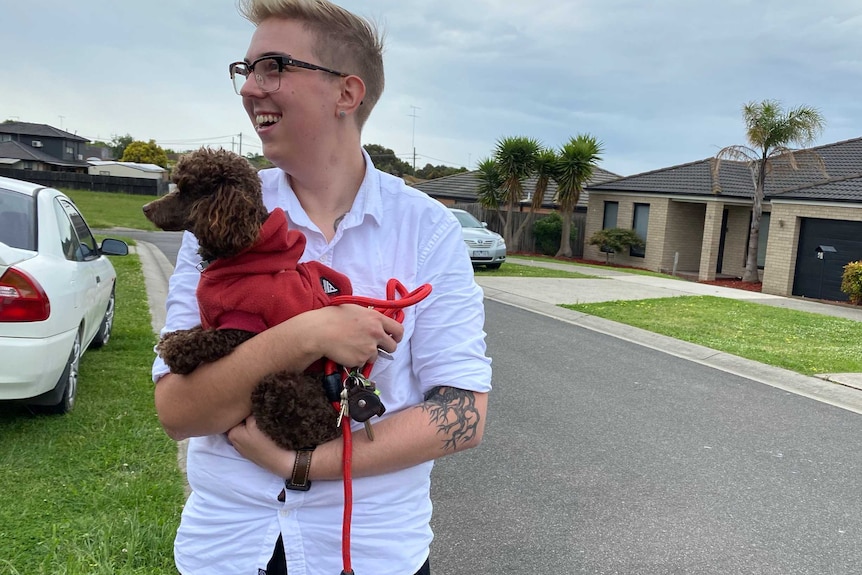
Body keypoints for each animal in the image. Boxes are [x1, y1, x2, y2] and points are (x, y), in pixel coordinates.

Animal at [145, 147, 352, 450]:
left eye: (185, 190)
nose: (145, 209)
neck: (239, 254)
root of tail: (337, 421)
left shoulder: (243, 328)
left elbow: (206, 340)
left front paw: (176, 350)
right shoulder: (215, 319)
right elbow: (199, 328)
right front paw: (177, 337)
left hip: (280, 388)